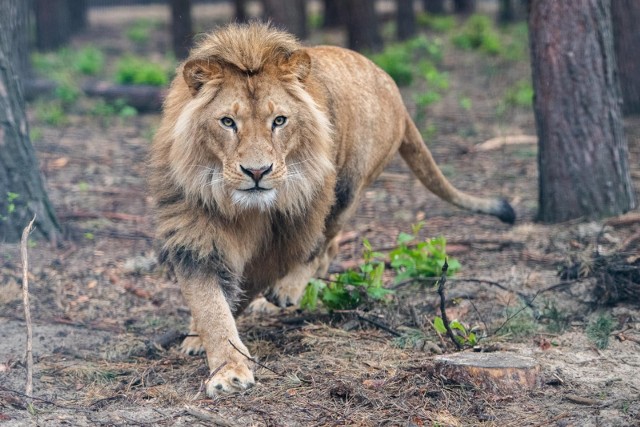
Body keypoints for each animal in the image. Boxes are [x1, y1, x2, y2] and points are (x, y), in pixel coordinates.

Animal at [148, 22, 512, 398]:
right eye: (227, 122)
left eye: (279, 120)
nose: (257, 172)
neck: (241, 207)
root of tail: (392, 85)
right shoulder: (195, 234)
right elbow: (210, 305)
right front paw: (222, 363)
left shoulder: (289, 230)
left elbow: (251, 283)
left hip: (344, 188)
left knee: (324, 246)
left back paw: (285, 292)